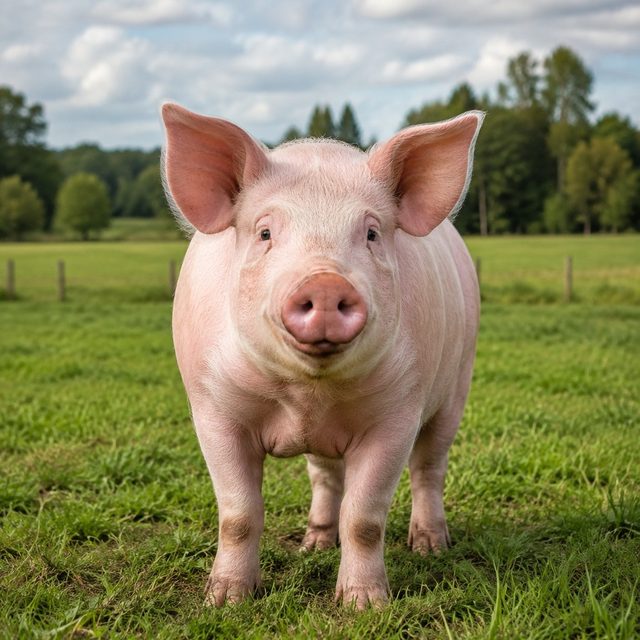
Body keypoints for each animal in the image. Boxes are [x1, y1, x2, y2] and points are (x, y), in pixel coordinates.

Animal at [161, 102, 484, 609]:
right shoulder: (213, 409)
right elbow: (239, 513)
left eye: (371, 233)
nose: (327, 283)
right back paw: (314, 544)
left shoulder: (397, 413)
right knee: (326, 476)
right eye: (265, 232)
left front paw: (364, 606)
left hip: (456, 388)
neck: (306, 394)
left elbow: (365, 518)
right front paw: (225, 600)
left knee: (429, 466)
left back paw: (431, 547)